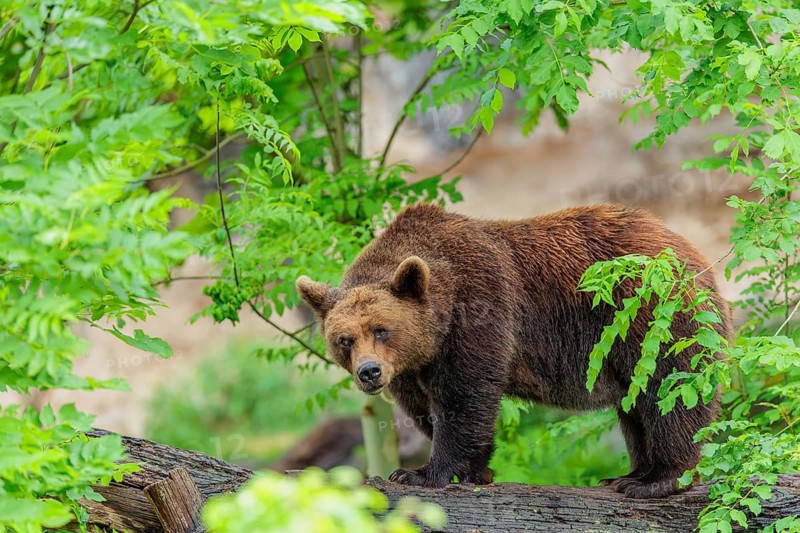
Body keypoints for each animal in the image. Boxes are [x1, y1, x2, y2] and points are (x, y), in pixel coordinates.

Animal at [296, 203, 731, 498]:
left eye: (382, 330)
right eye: (344, 339)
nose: (369, 372)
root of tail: (692, 253)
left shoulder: (479, 310)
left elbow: (465, 396)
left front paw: (421, 473)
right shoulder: (412, 364)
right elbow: (427, 407)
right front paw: (475, 470)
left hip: (646, 315)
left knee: (669, 389)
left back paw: (657, 479)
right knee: (635, 404)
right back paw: (629, 474)